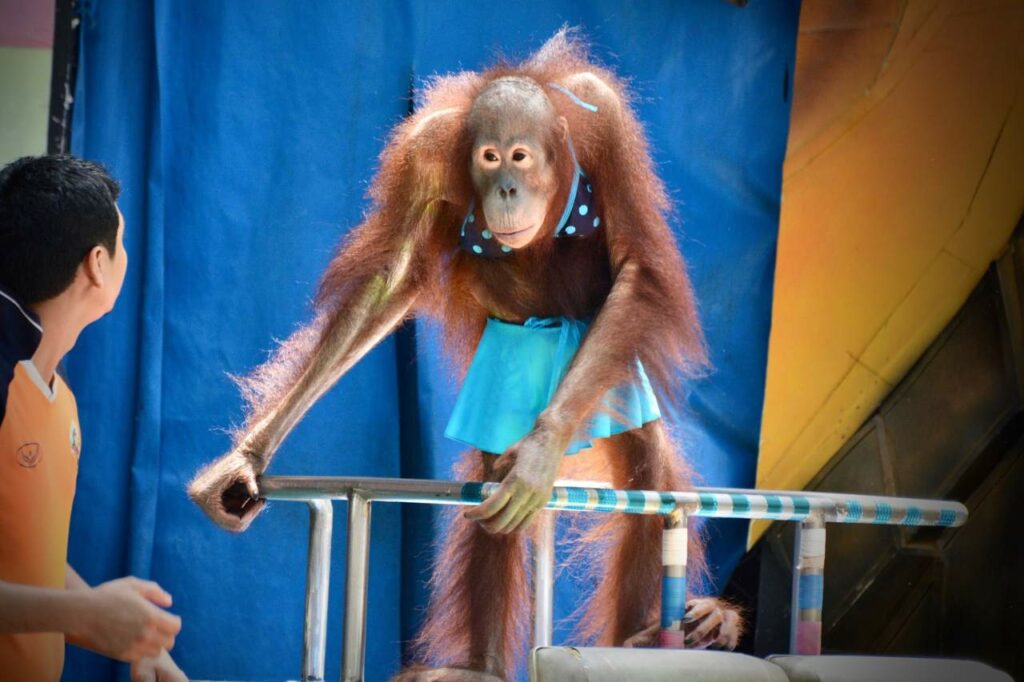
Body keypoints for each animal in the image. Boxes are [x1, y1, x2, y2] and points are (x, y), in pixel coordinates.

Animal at [188, 30, 743, 681]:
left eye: (520, 158)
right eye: (489, 159)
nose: (505, 190)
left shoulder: (606, 119)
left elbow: (634, 263)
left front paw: (541, 450)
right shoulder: (423, 154)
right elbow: (390, 280)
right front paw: (246, 456)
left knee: (642, 459)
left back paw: (641, 638)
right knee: (490, 477)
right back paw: (482, 664)